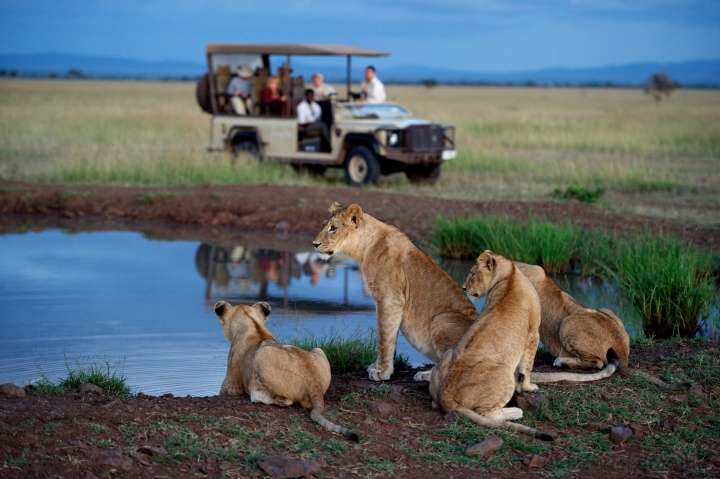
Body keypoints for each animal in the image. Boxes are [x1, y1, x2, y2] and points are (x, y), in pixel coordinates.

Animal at [214, 302, 360, 440]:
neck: (252, 322)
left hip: (262, 354)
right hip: (318, 349)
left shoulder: (232, 386)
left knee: (285, 401)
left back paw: (256, 395)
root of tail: (313, 381)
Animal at [310, 203, 476, 382]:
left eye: (333, 228)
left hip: (442, 320)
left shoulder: (389, 299)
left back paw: (427, 374)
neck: (364, 248)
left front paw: (382, 372)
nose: (314, 244)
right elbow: (387, 336)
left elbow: (383, 337)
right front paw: (377, 366)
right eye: (324, 226)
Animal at [430, 251, 556, 442]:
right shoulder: (533, 334)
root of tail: (446, 395)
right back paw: (515, 411)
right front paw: (528, 387)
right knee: (486, 414)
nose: (464, 288)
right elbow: (526, 368)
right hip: (504, 375)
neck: (508, 274)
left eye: (472, 274)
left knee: (434, 403)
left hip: (448, 354)